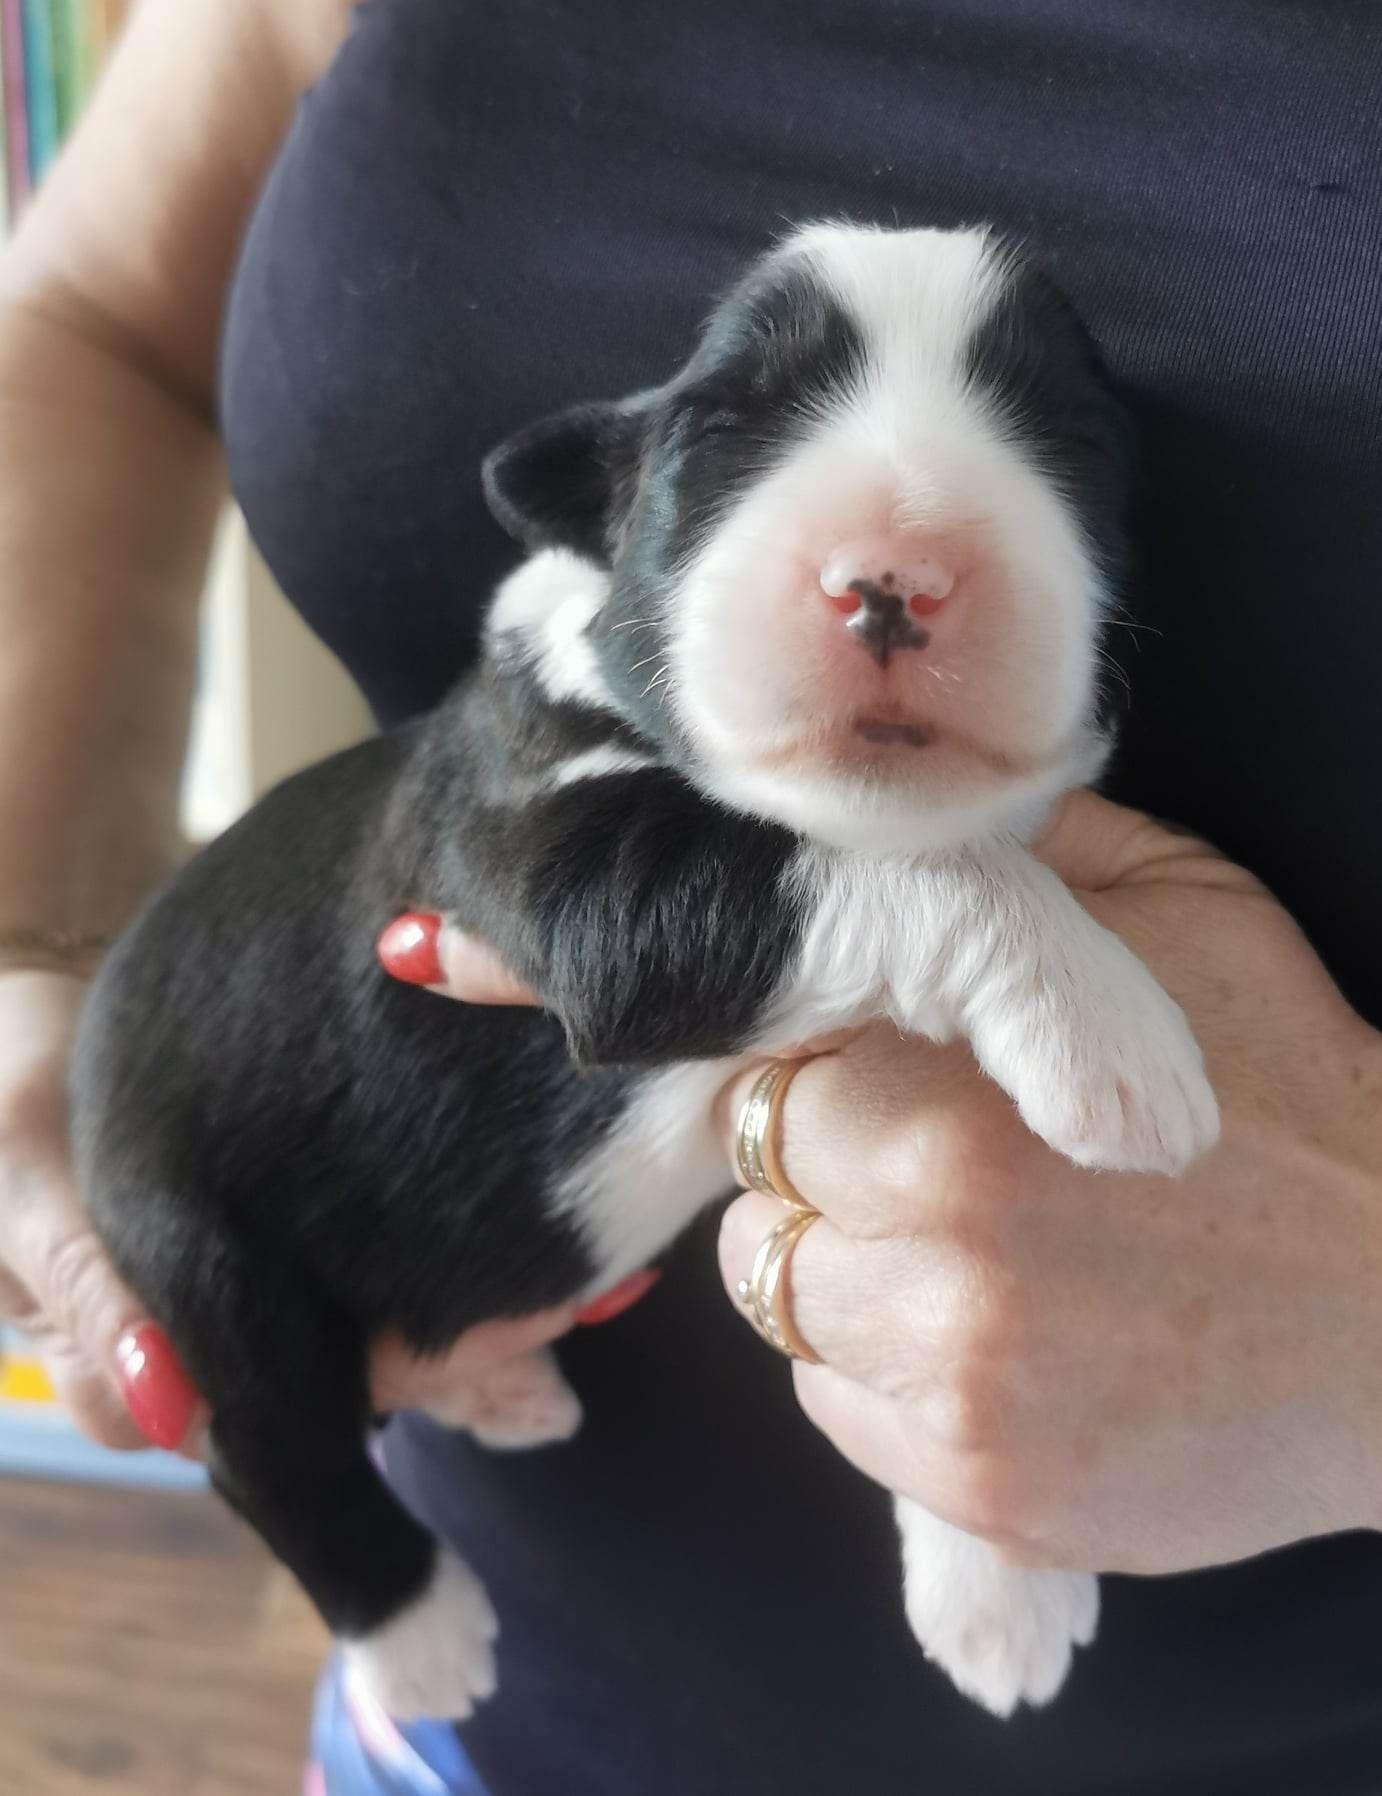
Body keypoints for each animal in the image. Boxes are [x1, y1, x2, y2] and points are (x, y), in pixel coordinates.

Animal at [72, 224, 1222, 1724]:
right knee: (262, 1433)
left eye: (1067, 434)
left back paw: (502, 1396)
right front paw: (1110, 1029)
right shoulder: (552, 863)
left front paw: (998, 1588)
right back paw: (419, 1630)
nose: (894, 578)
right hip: (193, 1231)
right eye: (719, 431)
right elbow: (915, 867)